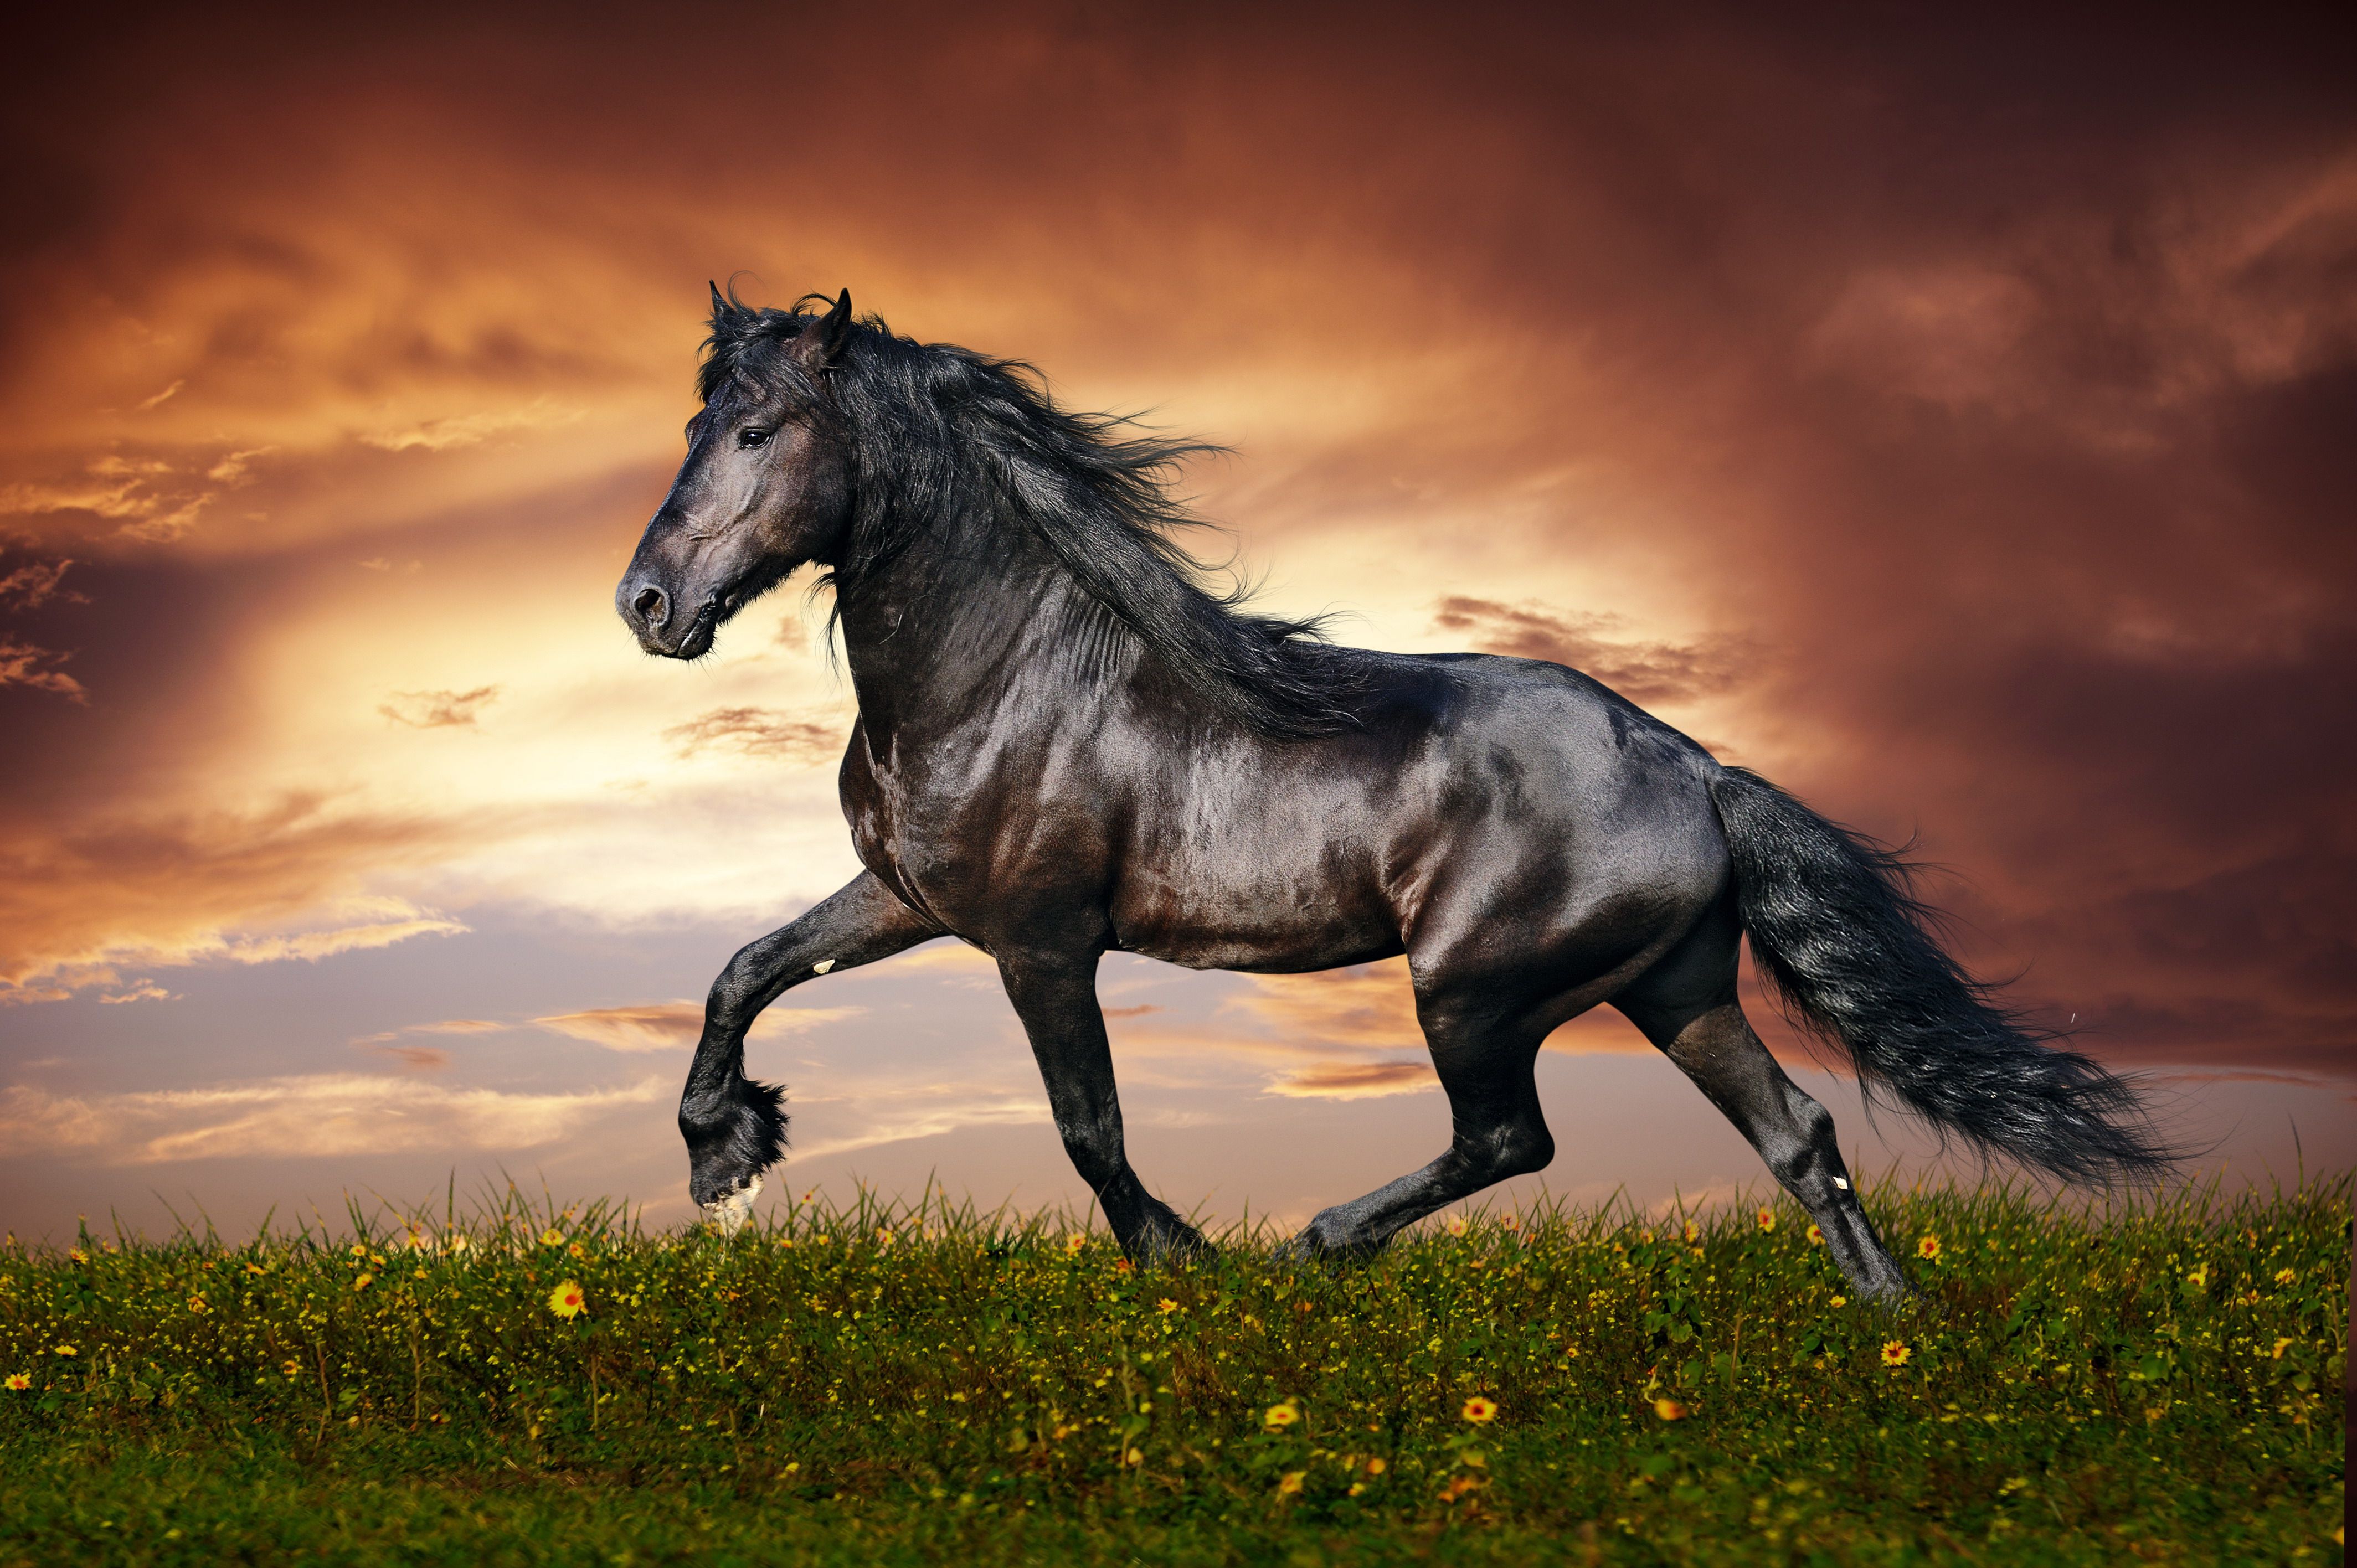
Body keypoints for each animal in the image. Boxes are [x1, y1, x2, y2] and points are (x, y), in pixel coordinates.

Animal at [617, 287, 2159, 1292]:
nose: (647, 606)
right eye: (697, 424)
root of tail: (1698, 769)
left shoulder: (1041, 941)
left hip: (1473, 987)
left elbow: (1087, 1125)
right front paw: (724, 1156)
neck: (1004, 673)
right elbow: (745, 968)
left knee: (1512, 1136)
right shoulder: (910, 897)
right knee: (1801, 1137)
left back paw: (1318, 1244)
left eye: (758, 433)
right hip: (1676, 988)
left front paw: (1183, 1262)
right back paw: (1889, 1333)